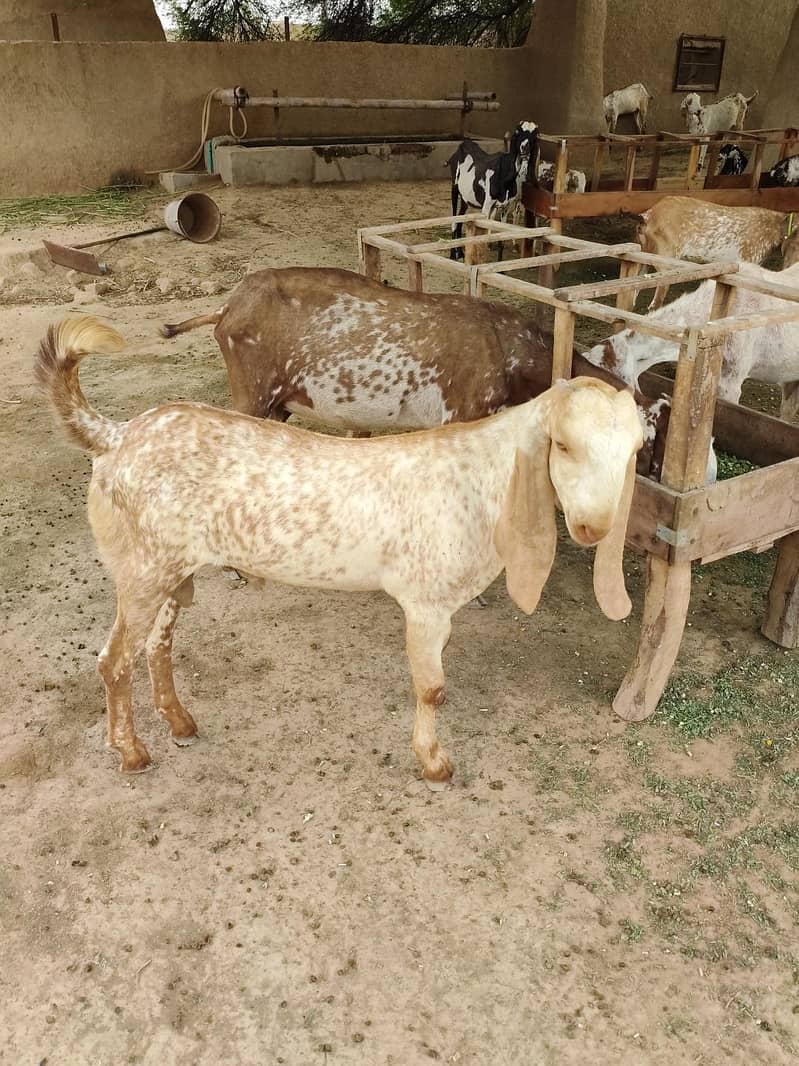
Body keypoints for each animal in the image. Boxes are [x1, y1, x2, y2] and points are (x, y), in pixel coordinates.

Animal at [36, 317, 642, 786]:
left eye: (635, 451)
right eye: (562, 444)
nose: (592, 527)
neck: (481, 481)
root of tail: (116, 436)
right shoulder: (425, 603)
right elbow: (432, 688)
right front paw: (434, 764)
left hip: (168, 569)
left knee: (156, 647)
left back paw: (181, 724)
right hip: (140, 570)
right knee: (114, 659)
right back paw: (133, 753)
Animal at [161, 266, 671, 479]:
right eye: (645, 439)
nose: (652, 473)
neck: (511, 353)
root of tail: (228, 306)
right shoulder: (462, 414)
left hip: (280, 402)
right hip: (250, 391)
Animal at [446, 122, 539, 260]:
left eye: (534, 135)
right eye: (518, 132)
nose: (524, 148)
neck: (504, 173)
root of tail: (464, 144)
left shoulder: (505, 207)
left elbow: (501, 240)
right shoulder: (486, 206)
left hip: (465, 197)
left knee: (460, 218)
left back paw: (460, 253)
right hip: (455, 187)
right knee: (454, 220)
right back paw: (453, 254)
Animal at [635, 197, 798, 309]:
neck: (775, 229)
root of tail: (647, 217)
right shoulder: (749, 257)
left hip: (643, 257)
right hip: (665, 261)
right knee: (654, 304)